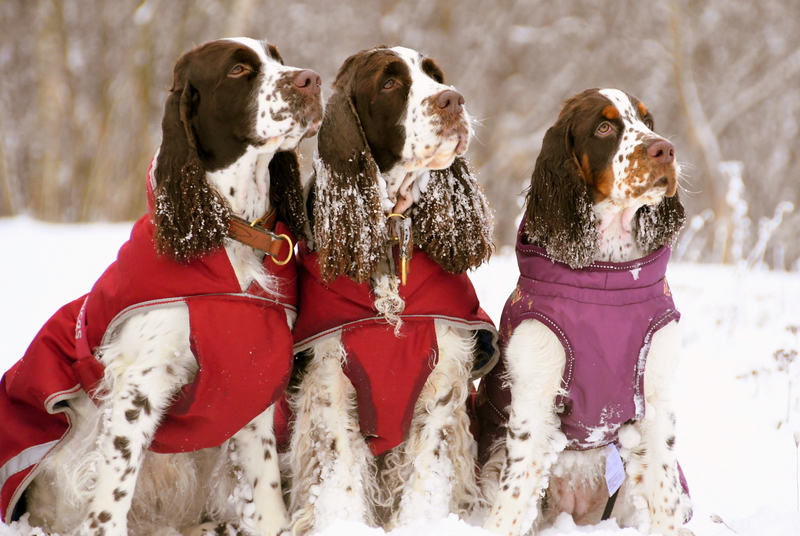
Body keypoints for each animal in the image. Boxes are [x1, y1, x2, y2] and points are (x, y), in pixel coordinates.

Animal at [0, 38, 322, 536]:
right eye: (238, 70)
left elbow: (265, 488)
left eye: (278, 58)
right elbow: (112, 495)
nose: (312, 80)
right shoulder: (140, 381)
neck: (230, 233)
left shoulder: (252, 381)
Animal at [285, 46, 498, 534]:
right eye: (388, 83)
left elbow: (427, 474)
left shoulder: (442, 384)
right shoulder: (330, 382)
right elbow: (340, 476)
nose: (453, 100)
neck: (387, 235)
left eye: (434, 74)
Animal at [476, 88, 692, 535]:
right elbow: (514, 495)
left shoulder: (655, 395)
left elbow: (664, 493)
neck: (606, 278)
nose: (665, 150)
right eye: (605, 127)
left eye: (647, 120)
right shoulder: (535, 396)